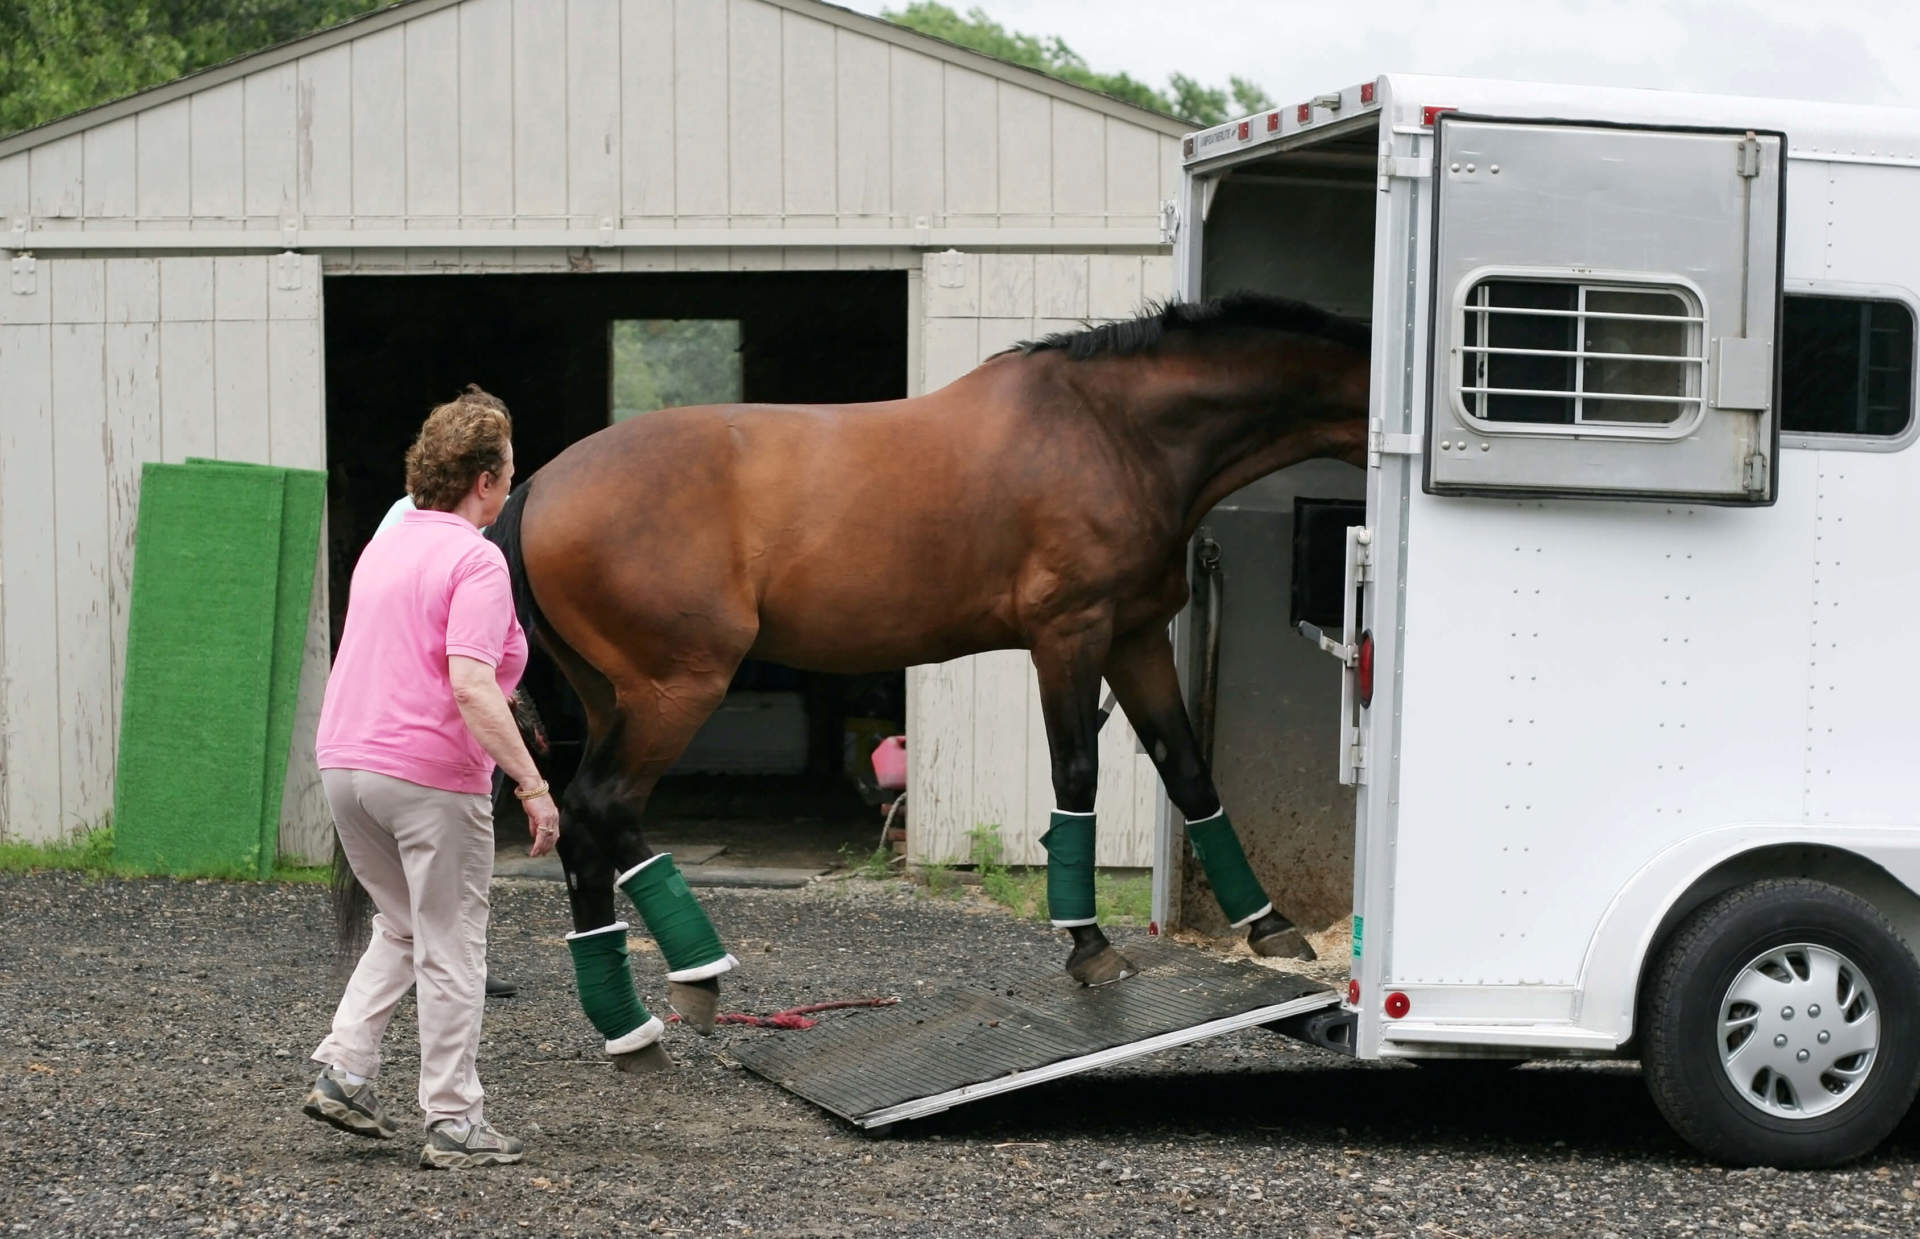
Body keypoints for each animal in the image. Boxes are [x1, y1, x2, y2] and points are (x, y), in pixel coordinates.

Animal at [336, 291, 1373, 1066]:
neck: (1111, 429)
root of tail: (539, 486)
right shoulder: (1069, 637)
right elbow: (1075, 777)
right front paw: (1088, 945)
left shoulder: (1138, 638)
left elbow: (1189, 770)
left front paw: (1271, 925)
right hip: (679, 687)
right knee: (602, 805)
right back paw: (688, 983)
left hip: (616, 694)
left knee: (591, 825)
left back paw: (638, 1021)